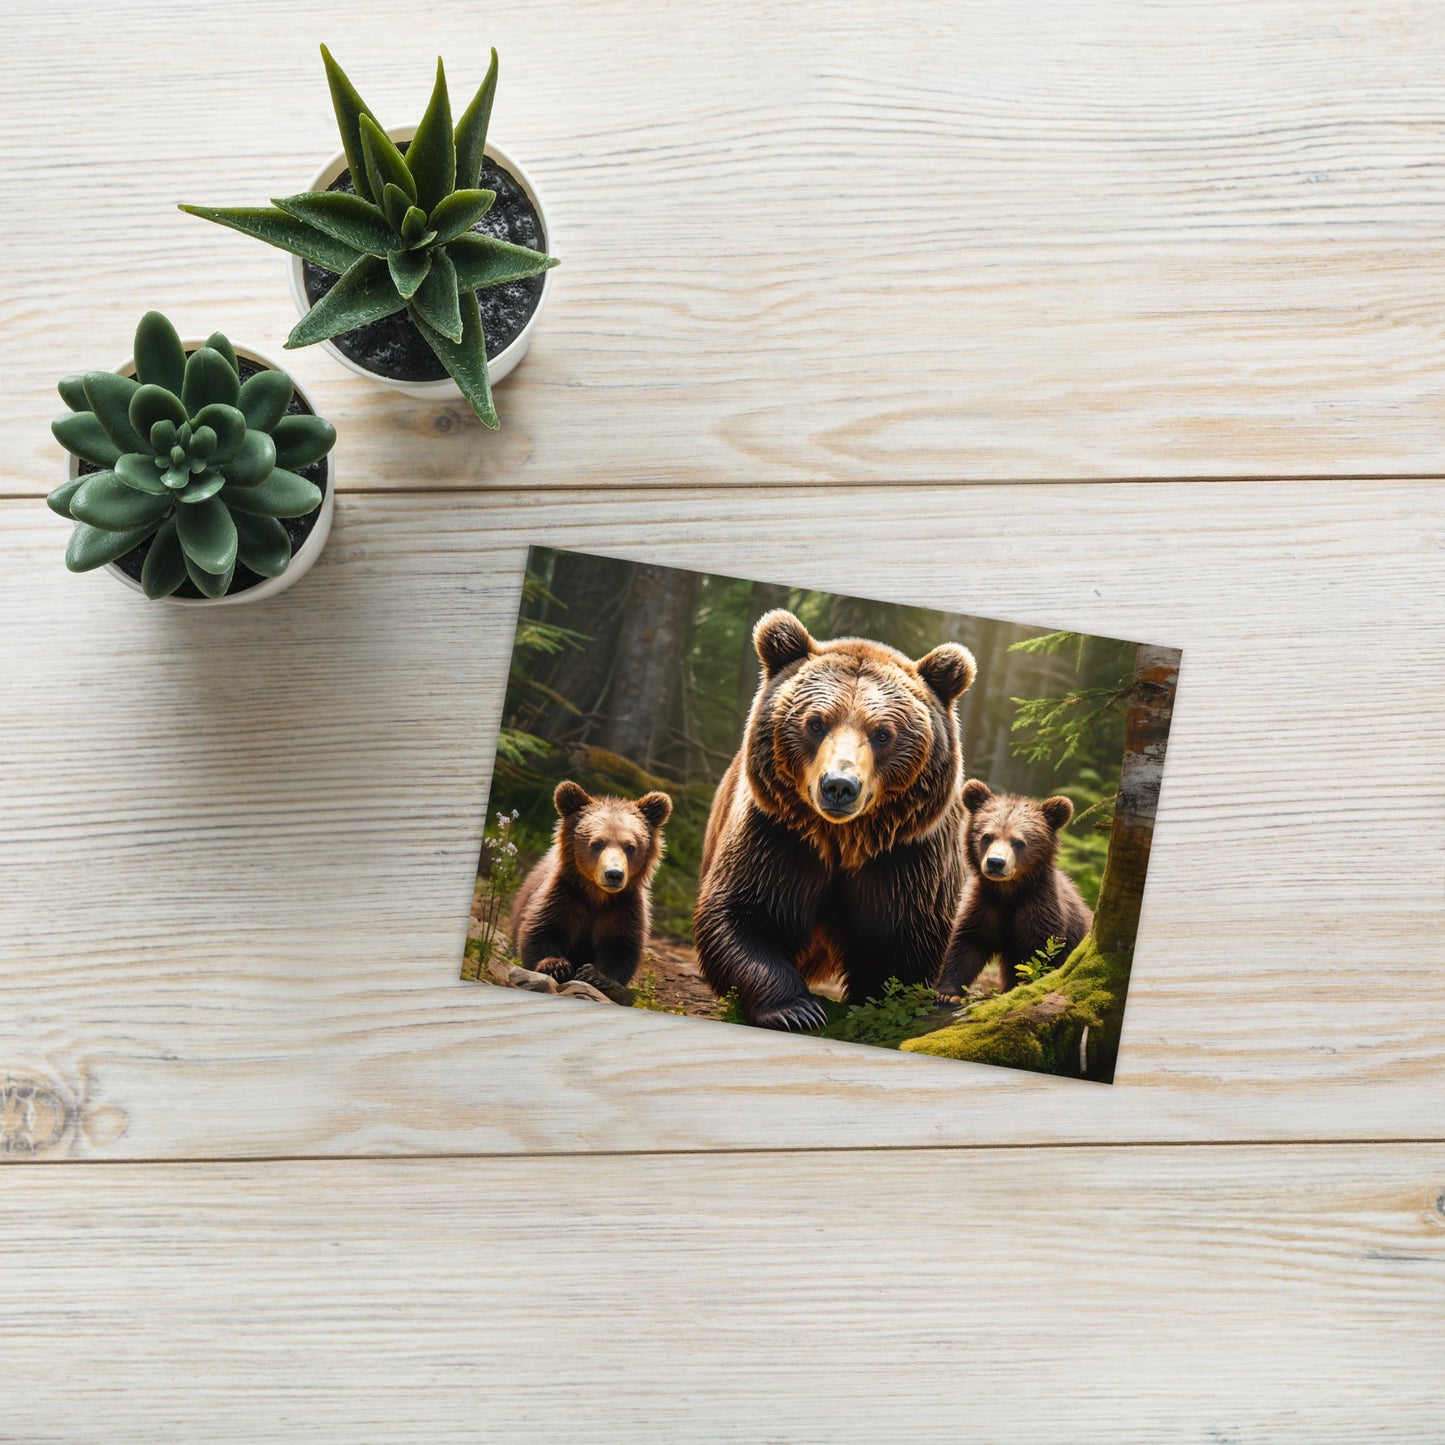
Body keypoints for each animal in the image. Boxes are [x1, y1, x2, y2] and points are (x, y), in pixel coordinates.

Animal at [510, 780, 673, 994]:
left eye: (630, 846)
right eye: (597, 843)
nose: (614, 874)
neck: (597, 895)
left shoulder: (623, 907)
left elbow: (621, 946)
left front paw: (595, 975)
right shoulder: (565, 895)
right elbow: (543, 930)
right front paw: (556, 966)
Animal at [693, 609, 977, 1030]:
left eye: (882, 733)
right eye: (815, 723)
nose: (839, 786)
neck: (844, 839)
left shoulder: (908, 855)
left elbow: (906, 941)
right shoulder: (777, 835)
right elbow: (742, 913)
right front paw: (797, 1009)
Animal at [933, 779, 1093, 1003]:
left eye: (1018, 841)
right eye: (987, 836)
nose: (995, 862)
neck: (1009, 891)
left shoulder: (1040, 907)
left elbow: (1038, 956)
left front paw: (1020, 987)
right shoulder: (985, 903)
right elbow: (968, 944)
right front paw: (947, 993)